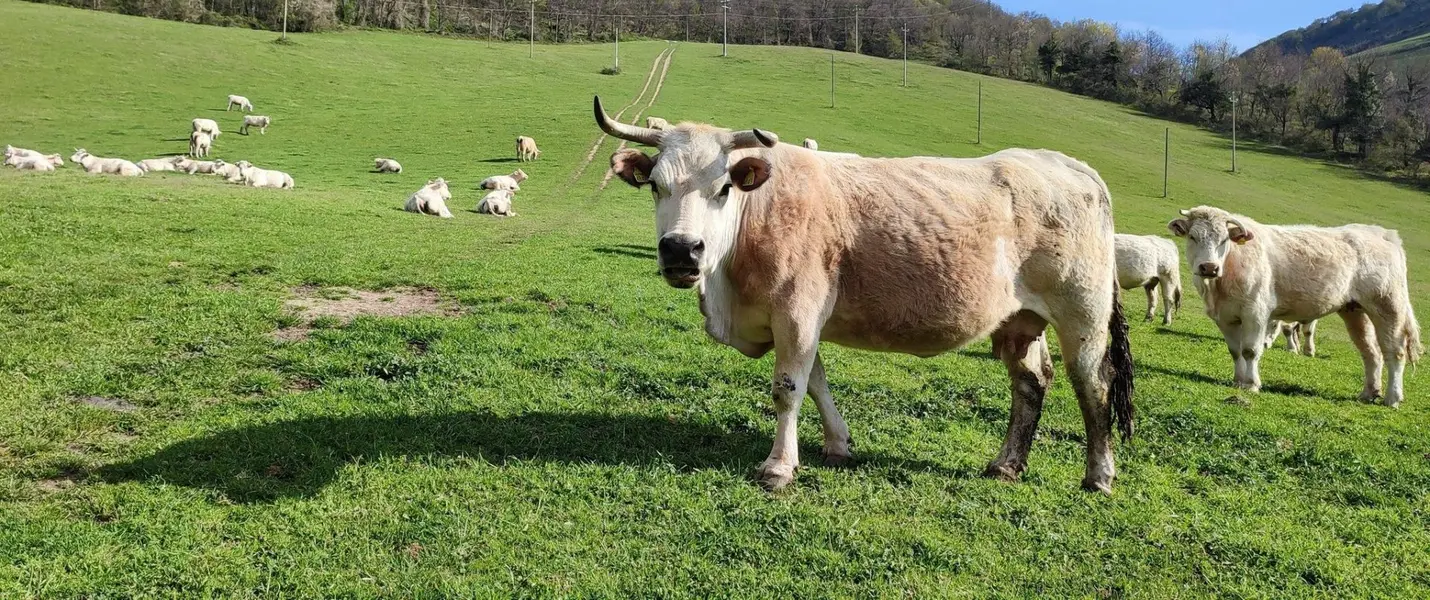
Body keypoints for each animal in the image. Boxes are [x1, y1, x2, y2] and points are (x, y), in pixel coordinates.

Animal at [586, 96, 1132, 491]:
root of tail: (1066, 163)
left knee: (1093, 384)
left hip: (1082, 314)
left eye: (724, 188)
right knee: (1030, 382)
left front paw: (778, 467)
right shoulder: (799, 321)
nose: (682, 249)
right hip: (1019, 319)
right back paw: (1006, 464)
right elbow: (817, 383)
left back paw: (1099, 475)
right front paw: (837, 445)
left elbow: (787, 389)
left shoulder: (797, 309)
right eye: (655, 185)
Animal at [1166, 205, 1424, 408]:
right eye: (1193, 237)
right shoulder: (1224, 317)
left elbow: (1250, 350)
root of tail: (1381, 233)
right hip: (1355, 311)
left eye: (1224, 240)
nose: (1209, 267)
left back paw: (1393, 398)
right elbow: (1235, 350)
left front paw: (1251, 384)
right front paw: (1238, 381)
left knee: (1394, 351)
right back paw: (1369, 393)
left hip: (1388, 306)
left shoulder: (1255, 313)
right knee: (1371, 352)